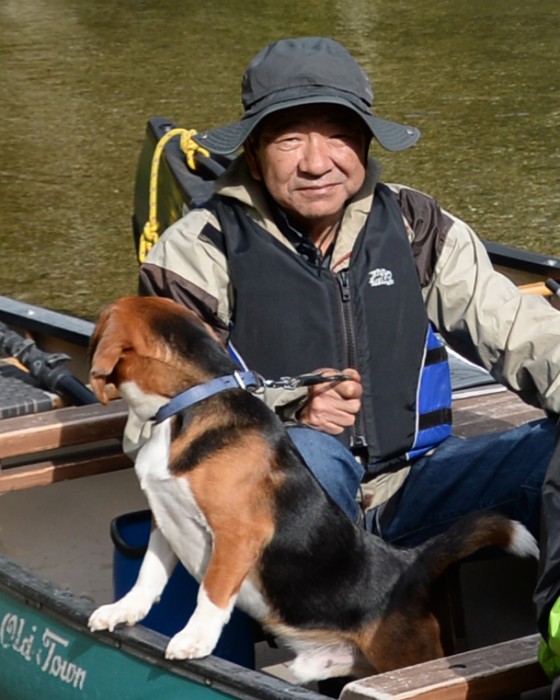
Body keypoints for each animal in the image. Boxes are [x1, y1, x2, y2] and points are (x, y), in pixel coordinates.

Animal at [87, 296, 540, 684]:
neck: (186, 404)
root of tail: (408, 564)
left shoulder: (237, 534)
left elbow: (211, 592)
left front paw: (194, 639)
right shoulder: (165, 519)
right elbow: (147, 577)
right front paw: (122, 611)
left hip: (407, 654)